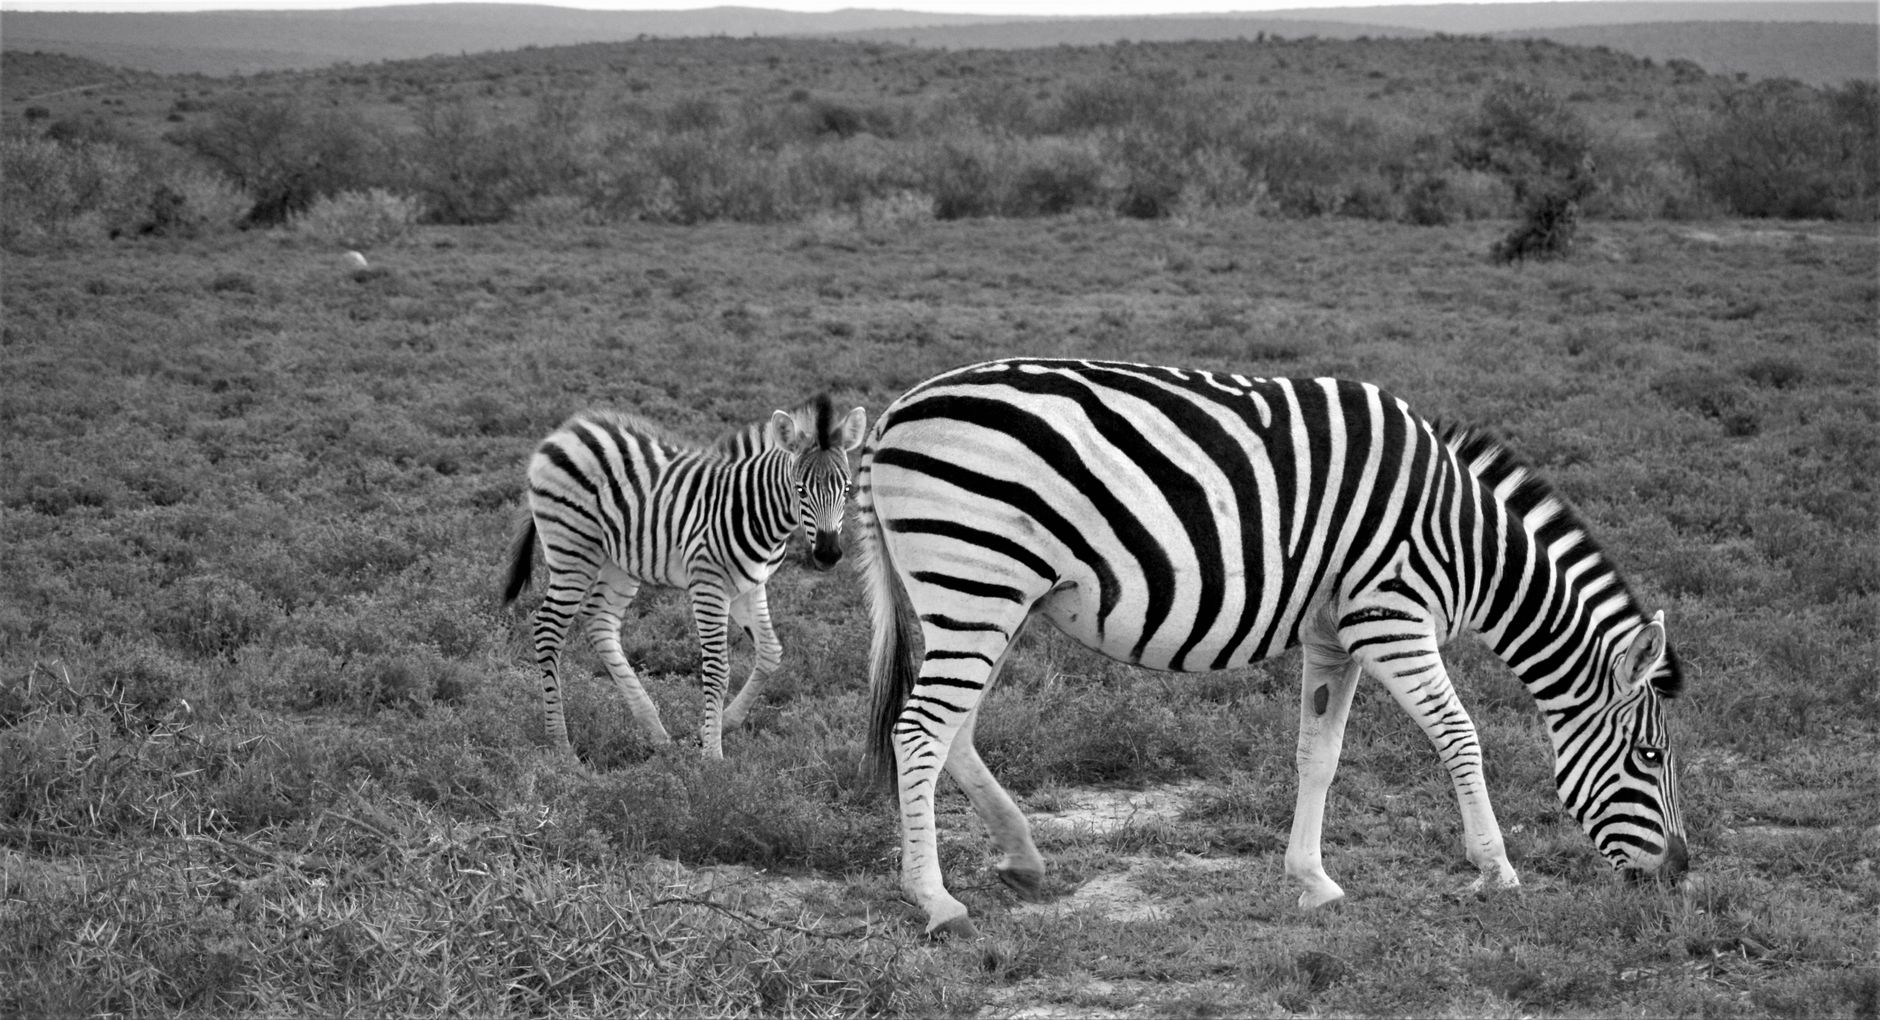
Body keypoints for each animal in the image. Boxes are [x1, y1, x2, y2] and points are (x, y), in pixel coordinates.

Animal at [504, 395, 867, 760]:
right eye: (800, 489)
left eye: (847, 489)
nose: (829, 554)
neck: (755, 510)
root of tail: (563, 432)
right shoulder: (708, 585)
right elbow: (718, 670)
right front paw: (712, 754)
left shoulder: (749, 585)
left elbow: (770, 654)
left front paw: (723, 724)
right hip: (572, 548)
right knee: (548, 627)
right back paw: (560, 743)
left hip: (619, 560)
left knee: (599, 621)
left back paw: (654, 730)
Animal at [855, 357, 1688, 938]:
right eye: (1651, 756)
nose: (1681, 873)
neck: (1465, 541)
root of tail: (892, 414)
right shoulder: (1390, 616)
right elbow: (1460, 737)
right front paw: (1498, 870)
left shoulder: (1335, 634)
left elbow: (1319, 753)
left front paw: (1313, 881)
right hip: (976, 580)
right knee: (920, 731)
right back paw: (935, 901)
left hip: (987, 597)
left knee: (953, 729)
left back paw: (1021, 859)